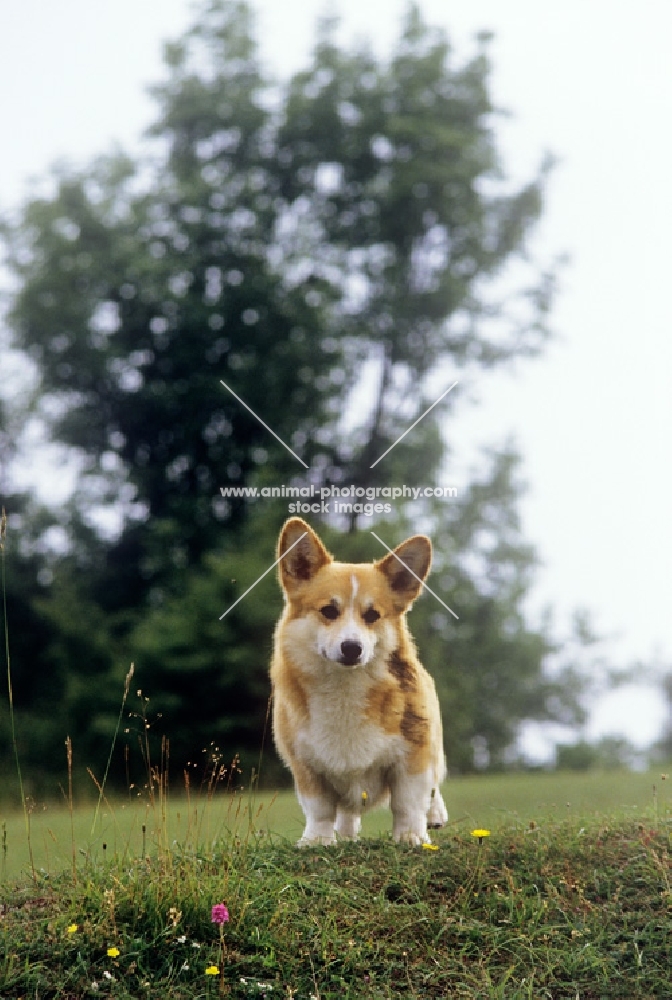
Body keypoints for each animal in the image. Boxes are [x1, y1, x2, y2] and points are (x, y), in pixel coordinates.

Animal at [268, 520, 446, 848]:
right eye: (328, 611)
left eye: (372, 615)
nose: (352, 648)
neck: (345, 687)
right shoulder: (306, 764)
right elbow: (320, 808)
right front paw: (317, 840)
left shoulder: (412, 755)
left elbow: (408, 801)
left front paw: (411, 836)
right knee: (347, 811)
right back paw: (348, 835)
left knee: (434, 784)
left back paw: (435, 815)